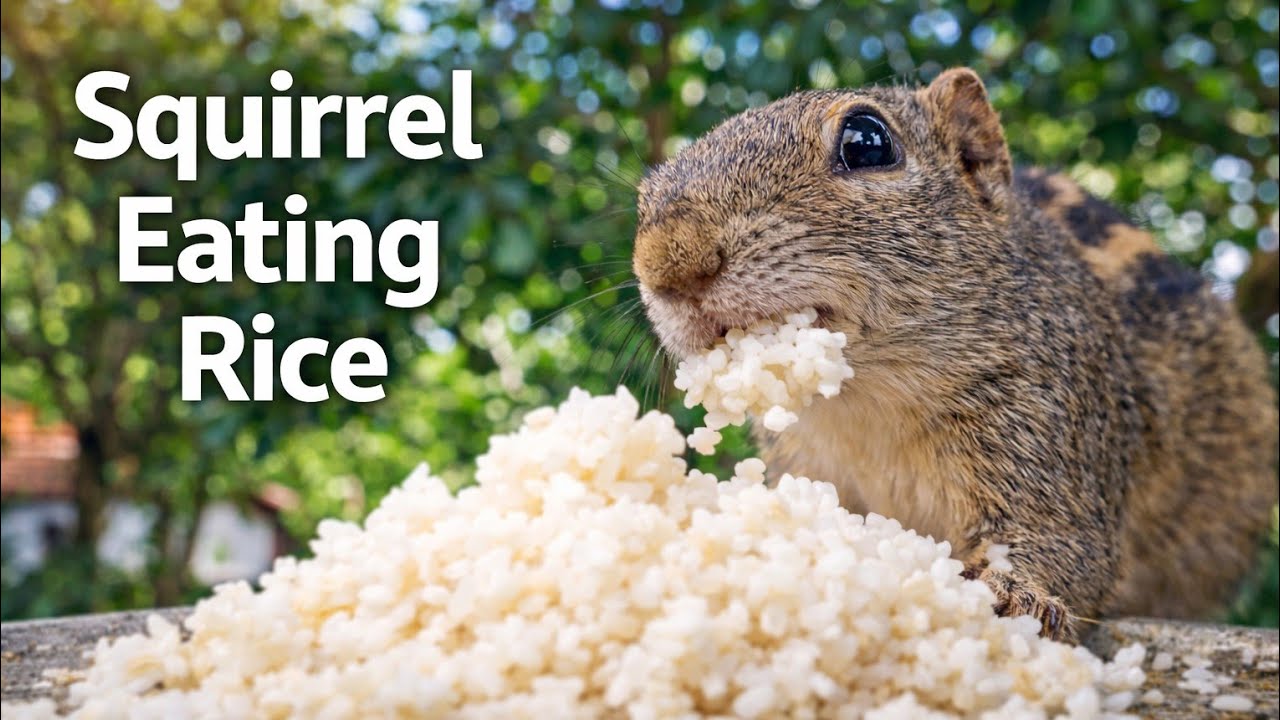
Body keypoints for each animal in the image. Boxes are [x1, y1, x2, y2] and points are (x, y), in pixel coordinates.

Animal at [631, 67, 1279, 642]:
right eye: (644, 195)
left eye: (867, 141)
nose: (670, 263)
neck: (866, 402)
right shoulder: (809, 468)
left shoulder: (1057, 421)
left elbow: (1067, 542)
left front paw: (1011, 594)